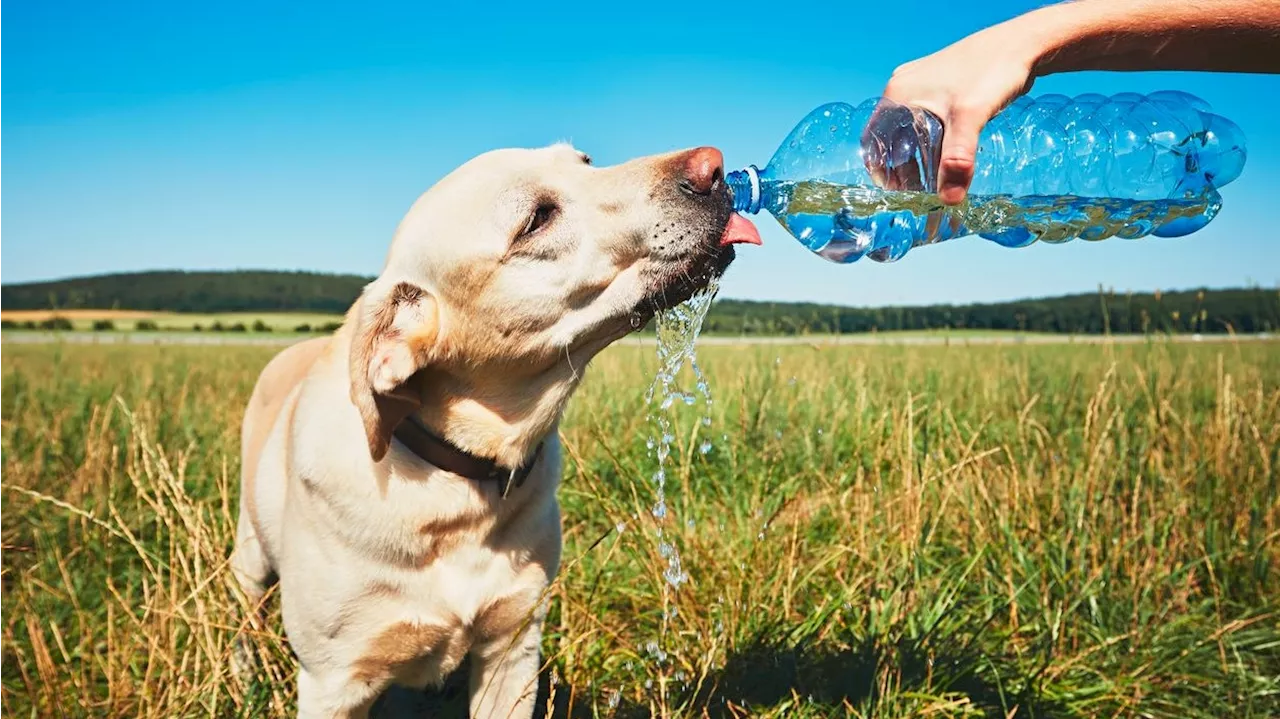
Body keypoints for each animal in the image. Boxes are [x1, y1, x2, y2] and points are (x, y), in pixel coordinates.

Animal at [230, 142, 757, 711]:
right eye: (536, 219)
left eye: (586, 162)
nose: (714, 166)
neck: (456, 486)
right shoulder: (334, 683)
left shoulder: (513, 647)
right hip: (249, 557)